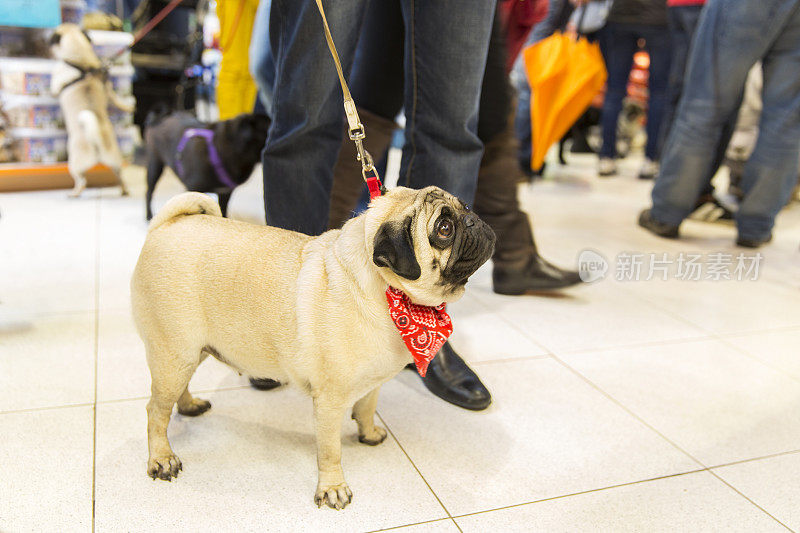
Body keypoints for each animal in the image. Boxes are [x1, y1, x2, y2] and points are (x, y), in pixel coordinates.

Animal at [49, 23, 134, 197]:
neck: (80, 60)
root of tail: (96, 139)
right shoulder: (106, 85)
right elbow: (114, 97)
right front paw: (127, 106)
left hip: (74, 164)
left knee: (81, 181)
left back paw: (74, 193)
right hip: (114, 159)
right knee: (119, 175)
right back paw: (123, 190)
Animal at [131, 186, 494, 508]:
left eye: (464, 206)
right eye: (444, 229)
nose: (473, 219)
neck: (388, 291)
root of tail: (165, 226)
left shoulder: (372, 382)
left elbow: (366, 408)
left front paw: (369, 433)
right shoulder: (330, 402)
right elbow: (330, 450)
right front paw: (333, 488)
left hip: (187, 353)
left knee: (175, 393)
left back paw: (189, 406)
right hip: (175, 352)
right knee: (155, 411)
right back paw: (162, 458)